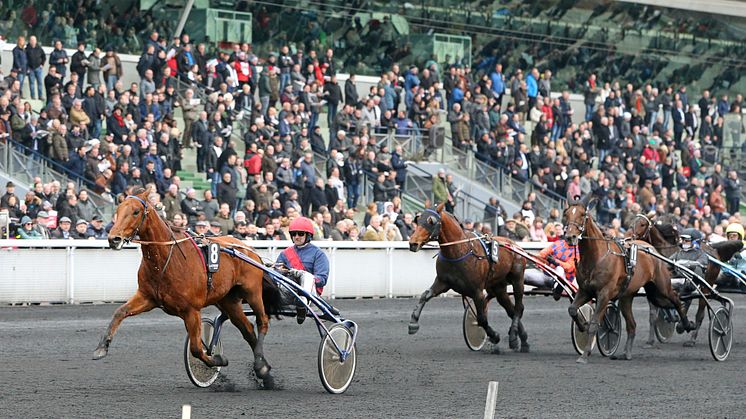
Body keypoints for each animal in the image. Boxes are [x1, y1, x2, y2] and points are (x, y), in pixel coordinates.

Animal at [91, 189, 282, 384]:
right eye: (118, 209)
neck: (166, 260)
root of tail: (249, 249)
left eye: (136, 211)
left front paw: (217, 359)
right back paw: (264, 370)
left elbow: (196, 349)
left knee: (262, 321)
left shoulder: (192, 310)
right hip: (228, 301)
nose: (114, 239)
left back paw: (260, 365)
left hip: (252, 292)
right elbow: (120, 312)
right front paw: (101, 347)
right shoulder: (147, 297)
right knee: (248, 330)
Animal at [404, 205, 528, 352]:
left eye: (431, 221)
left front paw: (494, 336)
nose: (413, 243)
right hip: (498, 287)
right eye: (418, 220)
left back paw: (514, 336)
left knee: (519, 307)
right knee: (511, 309)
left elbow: (481, 319)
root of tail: (516, 245)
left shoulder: (477, 292)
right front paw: (413, 323)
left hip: (517, 279)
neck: (459, 250)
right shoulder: (442, 282)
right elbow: (425, 295)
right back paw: (523, 340)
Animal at [560, 197, 696, 364]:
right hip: (628, 296)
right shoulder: (585, 291)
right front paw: (582, 326)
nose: (570, 237)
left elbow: (594, 323)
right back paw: (626, 353)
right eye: (566, 214)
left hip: (662, 286)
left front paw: (584, 355)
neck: (596, 257)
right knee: (633, 325)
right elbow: (572, 309)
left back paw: (687, 324)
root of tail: (651, 249)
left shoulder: (604, 294)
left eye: (582, 215)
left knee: (676, 299)